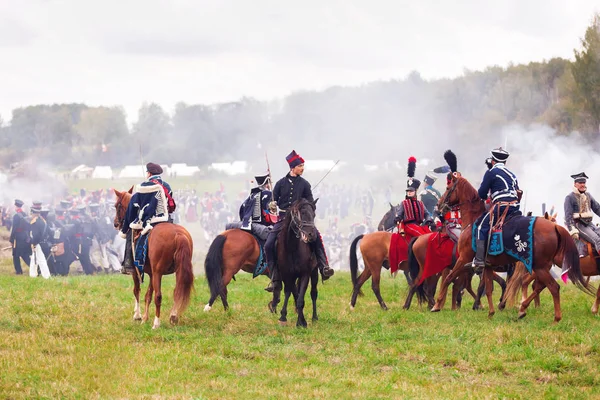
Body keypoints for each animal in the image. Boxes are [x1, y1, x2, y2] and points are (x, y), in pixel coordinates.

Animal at [113, 188, 195, 328]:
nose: (116, 223)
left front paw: (138, 316)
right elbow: (148, 295)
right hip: (177, 271)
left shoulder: (138, 272)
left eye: (117, 206)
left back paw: (156, 323)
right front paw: (145, 318)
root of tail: (178, 235)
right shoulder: (151, 273)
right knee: (176, 292)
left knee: (159, 296)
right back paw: (173, 316)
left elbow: (137, 290)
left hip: (158, 272)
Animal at [270, 198, 322, 326]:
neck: (292, 248)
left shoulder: (305, 274)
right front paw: (283, 316)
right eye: (302, 214)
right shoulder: (287, 274)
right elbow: (290, 292)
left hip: (314, 272)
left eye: (314, 215)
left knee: (313, 293)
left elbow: (300, 298)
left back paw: (314, 317)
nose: (311, 235)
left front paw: (301, 322)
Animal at [432, 177, 592, 320]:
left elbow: (448, 279)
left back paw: (554, 317)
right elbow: (488, 289)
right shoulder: (487, 266)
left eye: (448, 188)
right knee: (540, 286)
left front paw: (437, 305)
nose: (439, 205)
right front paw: (491, 313)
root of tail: (554, 227)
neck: (473, 221)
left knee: (552, 287)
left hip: (539, 267)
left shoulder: (464, 258)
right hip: (541, 267)